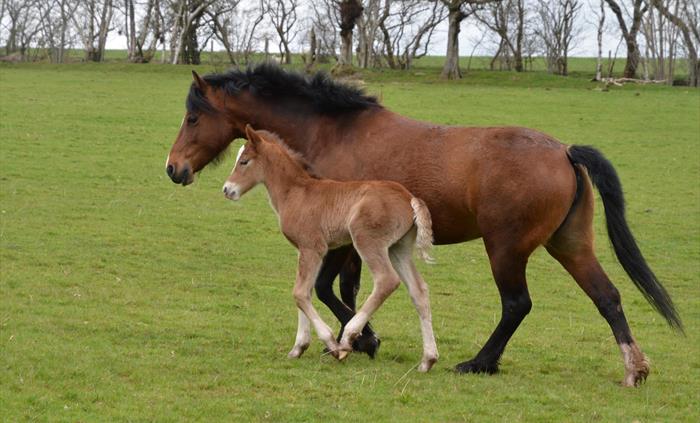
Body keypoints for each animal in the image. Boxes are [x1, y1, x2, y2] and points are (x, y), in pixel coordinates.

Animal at [222, 125, 438, 372]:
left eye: (244, 161)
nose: (227, 189)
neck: (296, 192)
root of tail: (409, 198)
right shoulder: (304, 250)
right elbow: (304, 291)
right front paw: (298, 347)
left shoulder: (312, 247)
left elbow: (299, 293)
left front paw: (331, 344)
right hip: (397, 248)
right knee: (419, 291)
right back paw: (428, 359)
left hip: (367, 241)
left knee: (386, 281)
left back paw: (348, 338)